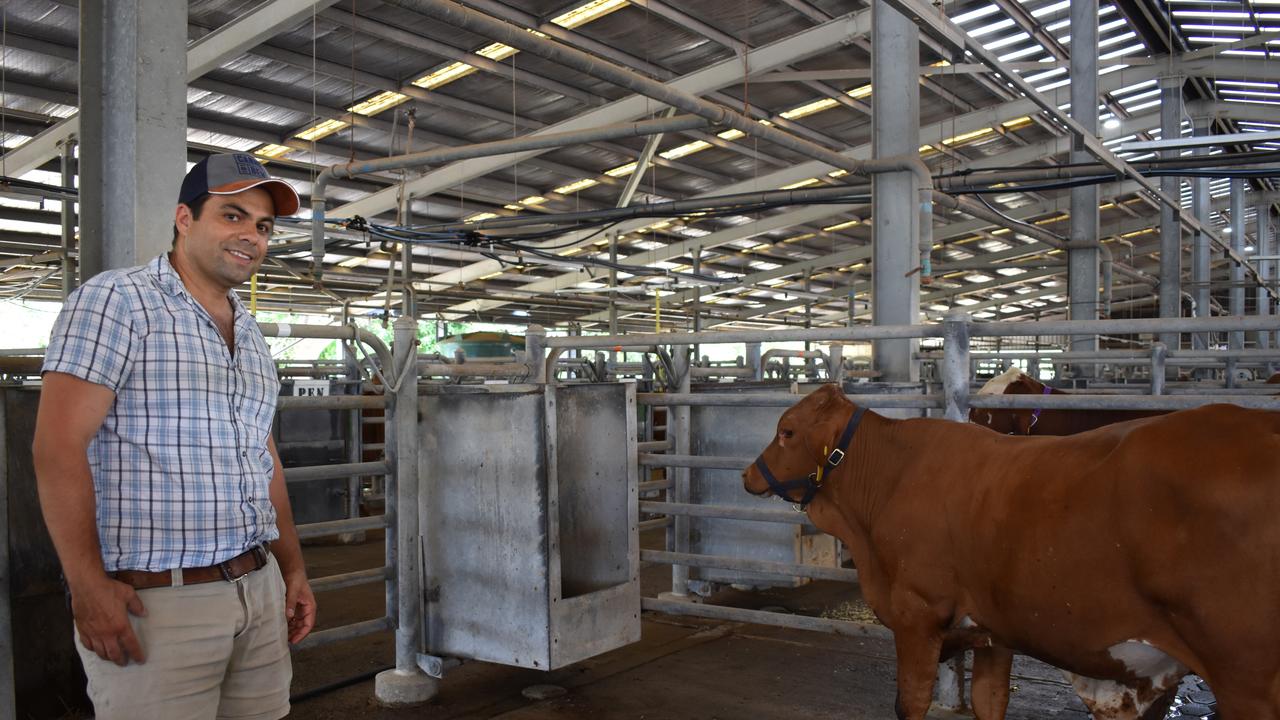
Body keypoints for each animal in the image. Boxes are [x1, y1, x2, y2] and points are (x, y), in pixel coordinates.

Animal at [742, 386, 1280, 717]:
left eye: (786, 431)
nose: (747, 474)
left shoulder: (917, 614)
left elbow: (910, 703)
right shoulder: (993, 630)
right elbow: (990, 700)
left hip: (1247, 678)